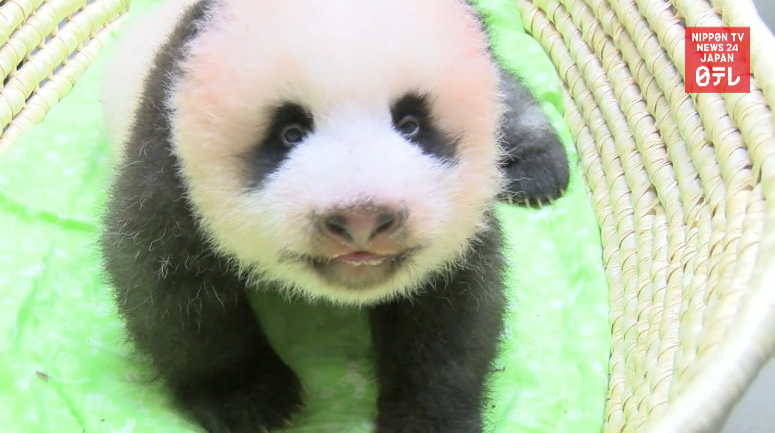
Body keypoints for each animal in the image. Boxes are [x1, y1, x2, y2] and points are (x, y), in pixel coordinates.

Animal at [99, 0, 570, 432]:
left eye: (412, 124)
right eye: (289, 132)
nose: (362, 220)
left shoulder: (459, 221)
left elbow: (451, 313)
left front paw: (428, 417)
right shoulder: (166, 158)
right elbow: (169, 285)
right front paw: (253, 399)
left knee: (505, 90)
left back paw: (537, 168)